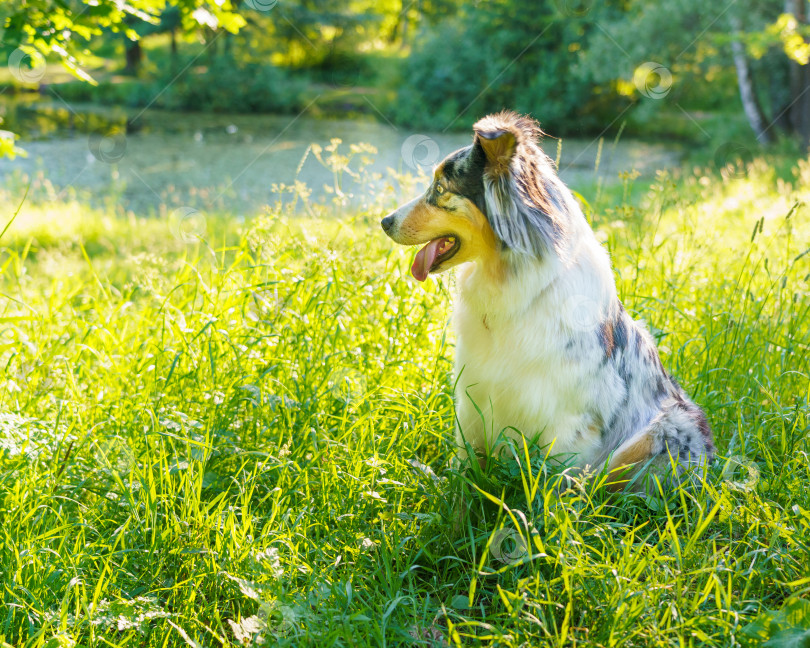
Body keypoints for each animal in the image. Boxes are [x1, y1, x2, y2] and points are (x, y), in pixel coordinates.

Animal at [380, 110, 712, 492]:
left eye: (439, 189)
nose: (384, 221)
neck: (510, 278)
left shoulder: (567, 418)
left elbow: (551, 484)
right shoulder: (473, 394)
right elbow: (465, 463)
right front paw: (451, 489)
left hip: (667, 427)